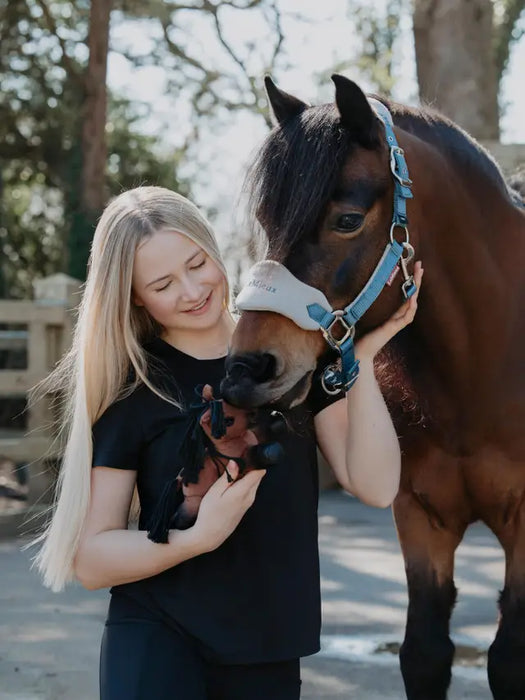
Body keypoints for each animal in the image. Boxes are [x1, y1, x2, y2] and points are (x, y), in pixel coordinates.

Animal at [219, 75, 525, 700]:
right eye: (265, 216)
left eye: (347, 219)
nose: (247, 368)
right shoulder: (421, 517)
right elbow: (425, 653)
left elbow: (509, 659)